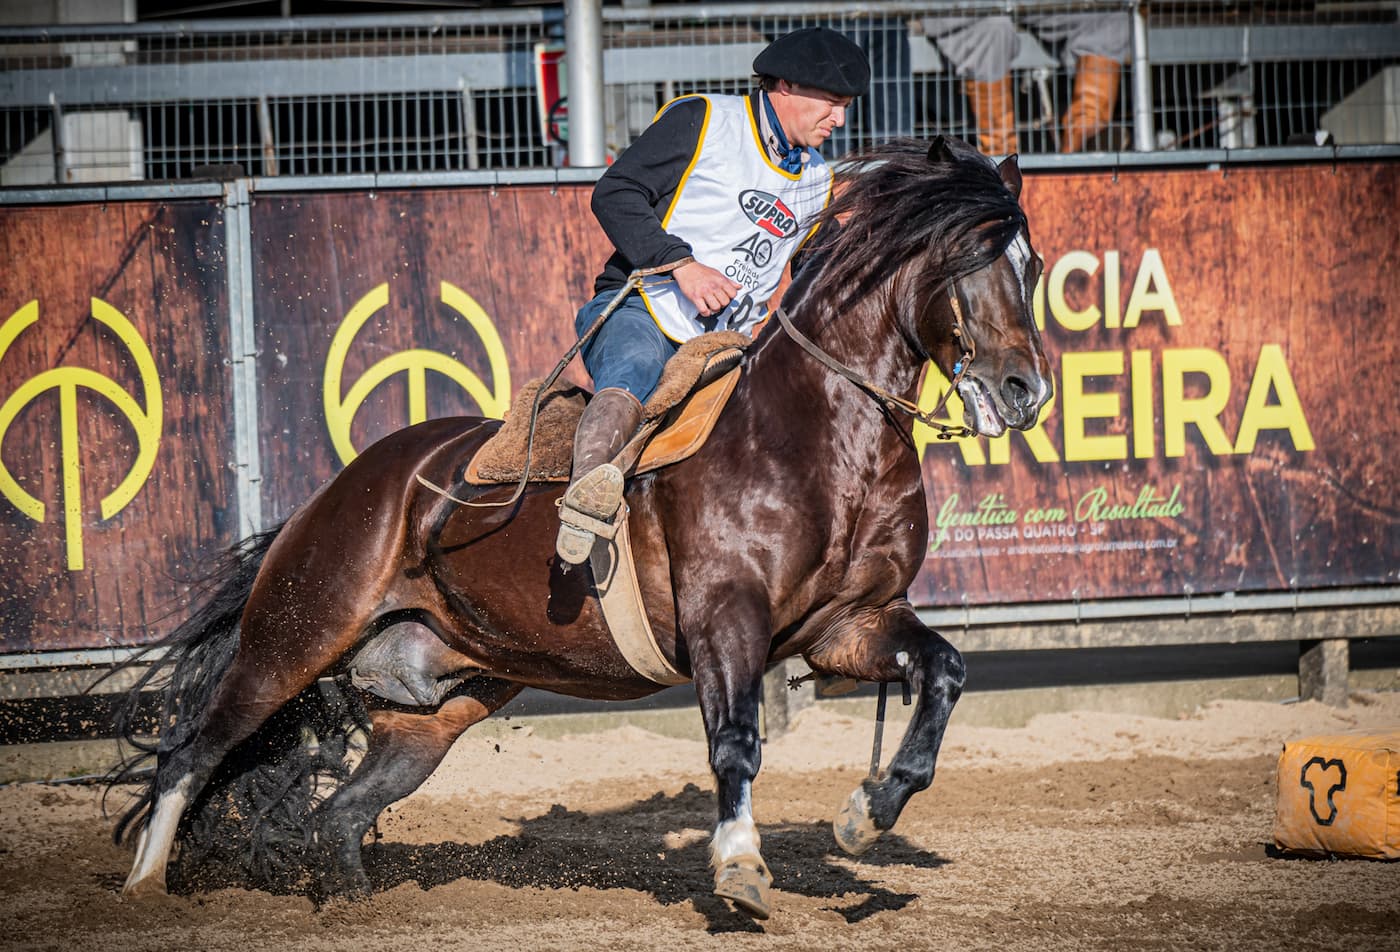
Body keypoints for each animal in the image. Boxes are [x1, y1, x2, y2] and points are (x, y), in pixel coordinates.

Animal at [112, 137, 1052, 918]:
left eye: (1032, 264)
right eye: (968, 257)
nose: (1026, 390)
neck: (817, 435)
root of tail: (341, 490)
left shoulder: (848, 627)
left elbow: (946, 673)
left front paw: (868, 812)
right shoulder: (727, 622)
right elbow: (736, 745)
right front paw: (740, 867)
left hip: (438, 705)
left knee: (339, 814)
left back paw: (348, 903)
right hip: (295, 635)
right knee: (192, 751)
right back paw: (144, 887)